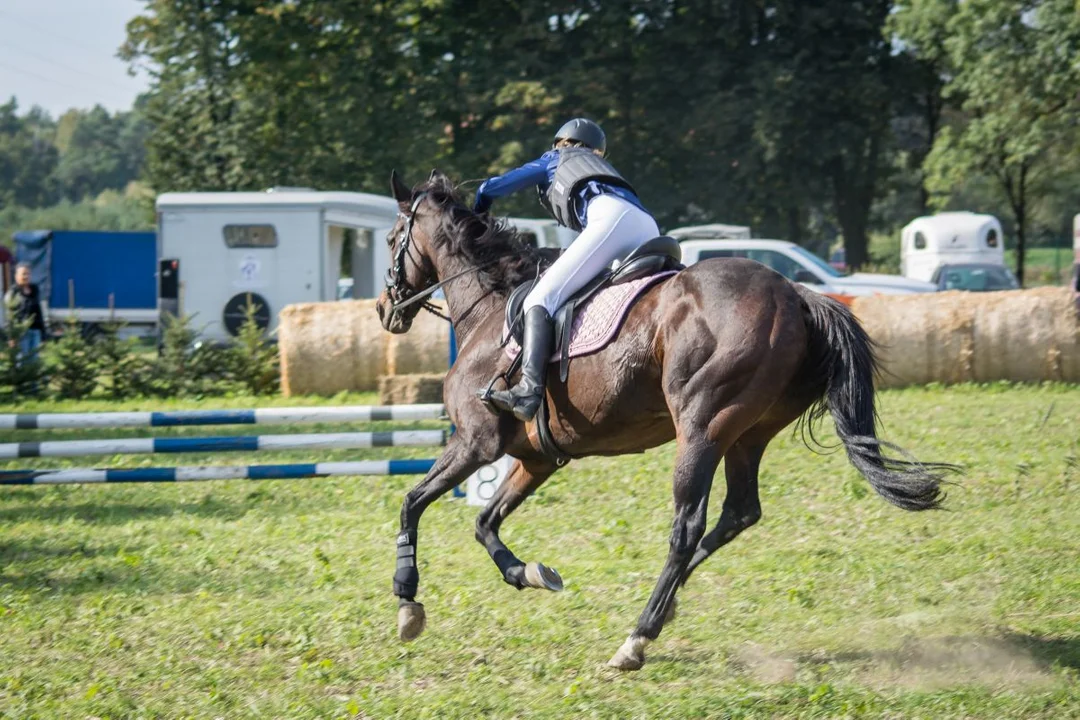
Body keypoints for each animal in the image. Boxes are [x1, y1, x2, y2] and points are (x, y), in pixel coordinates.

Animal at [373, 171, 954, 673]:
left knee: (687, 526)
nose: (384, 309)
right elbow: (484, 521)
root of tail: (797, 294)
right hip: (746, 433)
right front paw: (530, 573)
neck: (489, 308)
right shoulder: (537, 459)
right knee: (739, 513)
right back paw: (667, 606)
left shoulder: (476, 443)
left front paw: (407, 603)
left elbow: (412, 502)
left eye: (391, 239)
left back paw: (637, 636)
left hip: (701, 425)